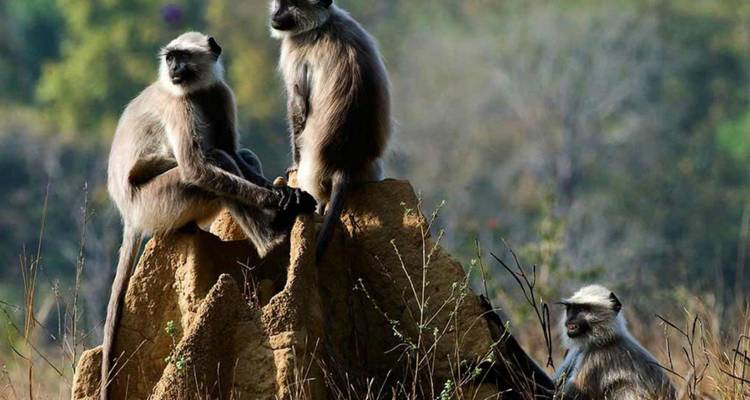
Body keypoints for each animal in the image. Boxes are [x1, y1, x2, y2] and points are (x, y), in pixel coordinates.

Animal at [103, 32, 315, 400]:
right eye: (170, 58)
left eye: (181, 57)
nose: (173, 69)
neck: (195, 88)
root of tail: (129, 215)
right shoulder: (179, 103)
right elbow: (195, 166)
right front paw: (275, 199)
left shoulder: (219, 92)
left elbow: (233, 151)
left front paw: (288, 193)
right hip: (159, 201)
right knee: (211, 162)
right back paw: (274, 239)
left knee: (235, 154)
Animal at [270, 0, 392, 261]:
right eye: (279, 3)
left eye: (292, 6)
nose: (276, 15)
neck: (323, 23)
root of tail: (344, 163)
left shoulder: (295, 50)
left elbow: (298, 106)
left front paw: (293, 164)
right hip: (370, 171)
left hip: (313, 173)